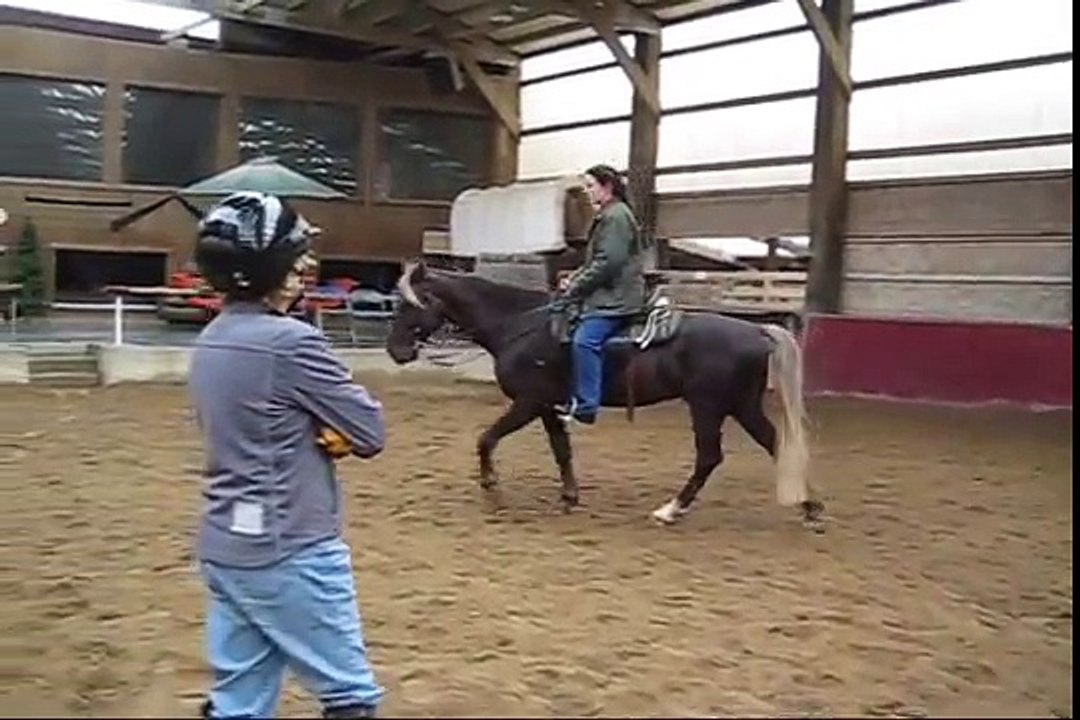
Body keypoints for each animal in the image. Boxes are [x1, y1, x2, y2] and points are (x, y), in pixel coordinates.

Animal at [385, 261, 823, 526]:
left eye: (409, 305)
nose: (396, 351)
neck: (519, 325)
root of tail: (757, 330)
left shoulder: (528, 402)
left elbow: (486, 438)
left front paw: (491, 485)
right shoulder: (548, 406)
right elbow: (561, 450)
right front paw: (569, 496)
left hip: (709, 406)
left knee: (710, 457)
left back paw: (671, 509)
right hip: (741, 406)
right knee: (776, 444)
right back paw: (810, 506)